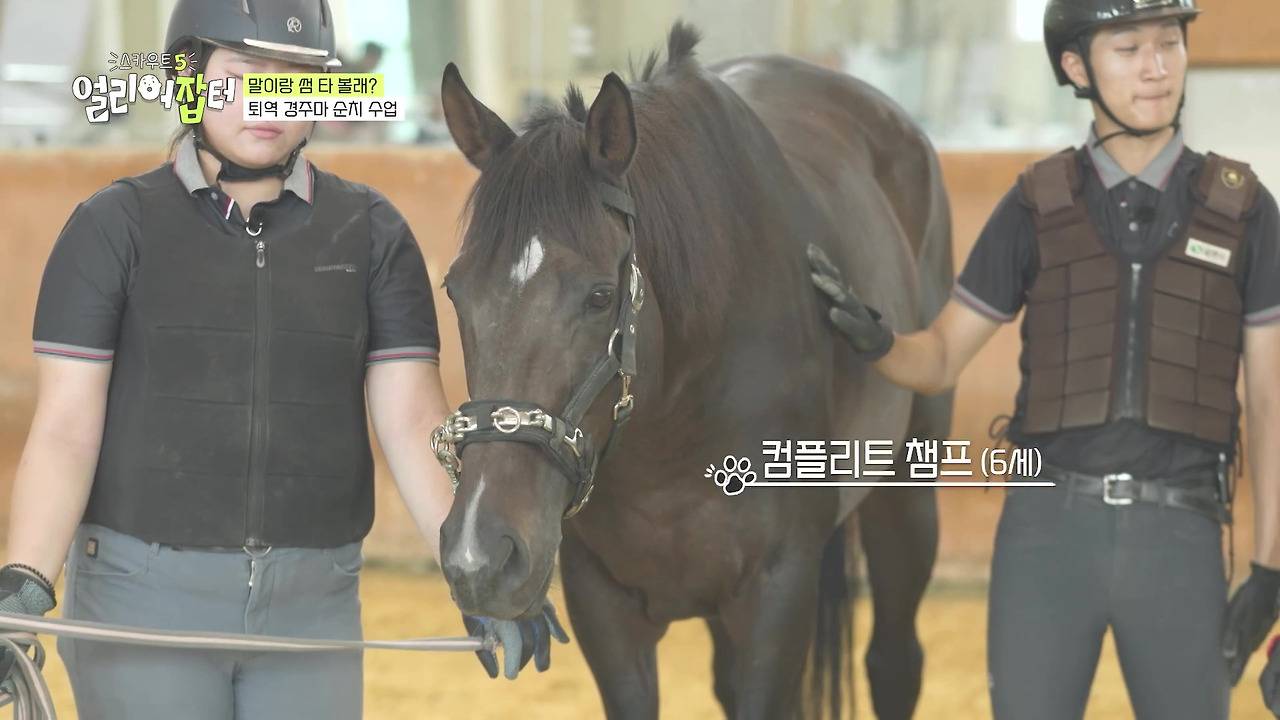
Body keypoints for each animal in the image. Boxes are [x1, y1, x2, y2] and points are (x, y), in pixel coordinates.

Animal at [437, 22, 952, 717]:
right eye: (456, 290)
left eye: (600, 295)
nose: (480, 556)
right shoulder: (603, 602)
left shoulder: (777, 590)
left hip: (907, 494)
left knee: (895, 661)